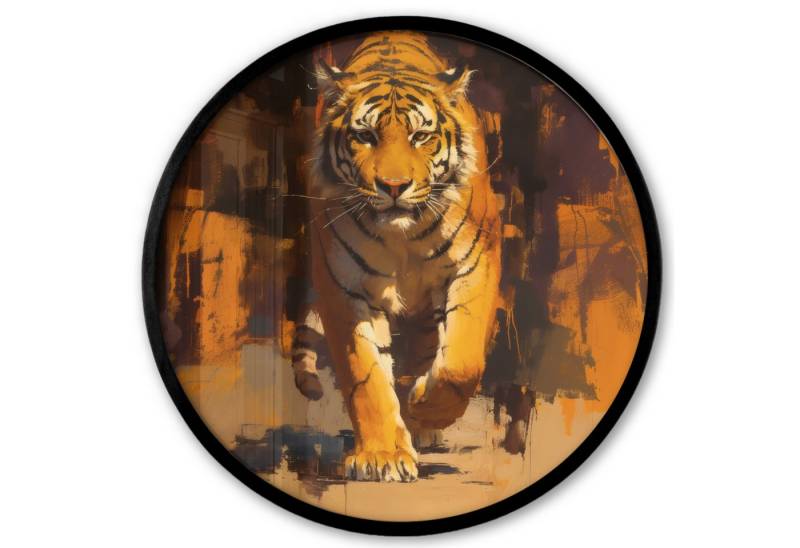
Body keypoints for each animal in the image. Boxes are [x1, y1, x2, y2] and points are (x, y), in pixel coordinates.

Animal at [291, 32, 502, 482]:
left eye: (420, 137)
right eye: (365, 136)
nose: (393, 185)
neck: (404, 237)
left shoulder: (475, 262)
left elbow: (461, 363)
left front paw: (424, 405)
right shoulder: (345, 286)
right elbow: (365, 376)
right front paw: (382, 455)